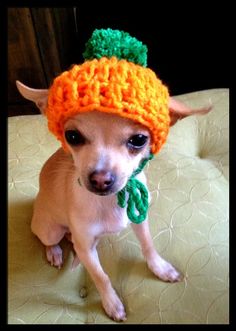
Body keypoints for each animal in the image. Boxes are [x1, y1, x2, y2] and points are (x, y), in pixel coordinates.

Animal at [16, 80, 212, 322]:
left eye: (139, 140)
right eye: (72, 136)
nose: (100, 180)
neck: (110, 202)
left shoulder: (140, 220)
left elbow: (148, 245)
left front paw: (160, 268)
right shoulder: (87, 250)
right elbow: (101, 276)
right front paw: (111, 303)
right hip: (49, 229)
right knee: (48, 239)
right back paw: (55, 251)